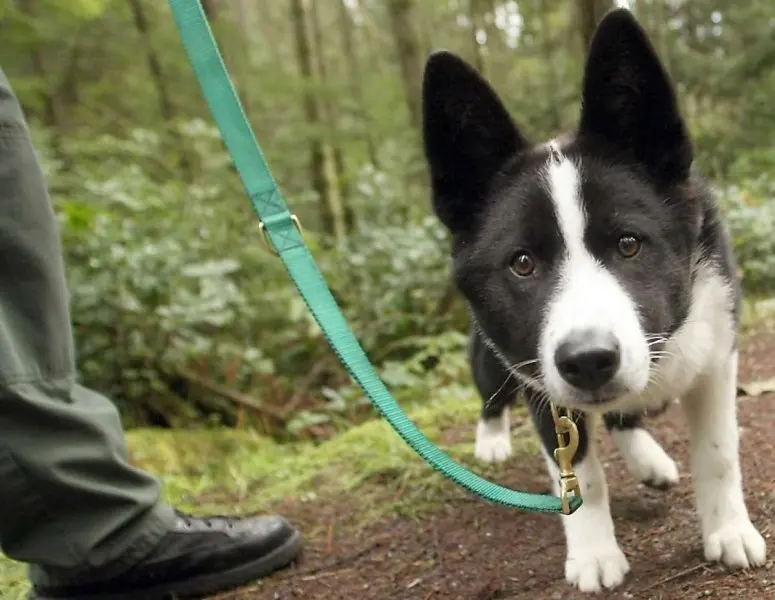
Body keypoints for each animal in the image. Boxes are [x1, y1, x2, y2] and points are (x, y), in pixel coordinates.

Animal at [422, 7, 768, 592]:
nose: (588, 362)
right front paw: (594, 554)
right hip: (495, 352)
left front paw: (728, 531)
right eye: (522, 263)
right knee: (492, 395)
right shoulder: (541, 383)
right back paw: (492, 438)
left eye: (629, 243)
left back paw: (649, 458)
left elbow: (720, 453)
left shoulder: (719, 355)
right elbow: (580, 475)